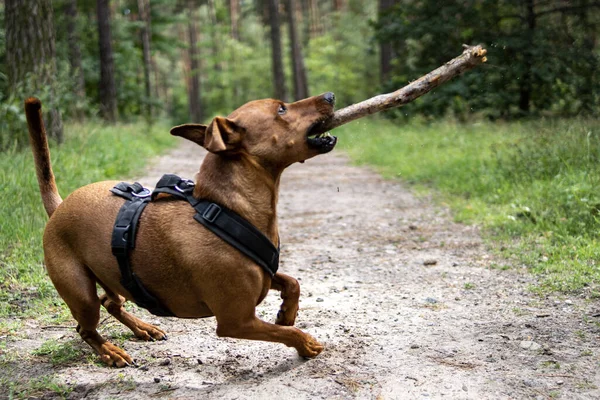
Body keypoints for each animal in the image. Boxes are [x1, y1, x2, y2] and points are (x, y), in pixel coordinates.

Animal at [25, 92, 338, 368]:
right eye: (281, 109)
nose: (330, 95)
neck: (226, 210)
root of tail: (60, 206)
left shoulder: (264, 276)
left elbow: (292, 283)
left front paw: (287, 313)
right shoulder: (237, 321)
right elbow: (287, 332)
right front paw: (306, 343)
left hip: (112, 276)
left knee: (111, 303)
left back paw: (144, 328)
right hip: (81, 294)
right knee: (86, 328)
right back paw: (110, 351)